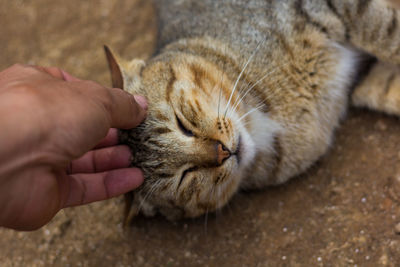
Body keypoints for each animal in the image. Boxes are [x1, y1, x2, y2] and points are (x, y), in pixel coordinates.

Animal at [104, 0, 400, 222]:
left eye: (183, 124)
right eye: (185, 176)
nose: (222, 151)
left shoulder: (320, 7)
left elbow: (386, 34)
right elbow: (384, 84)